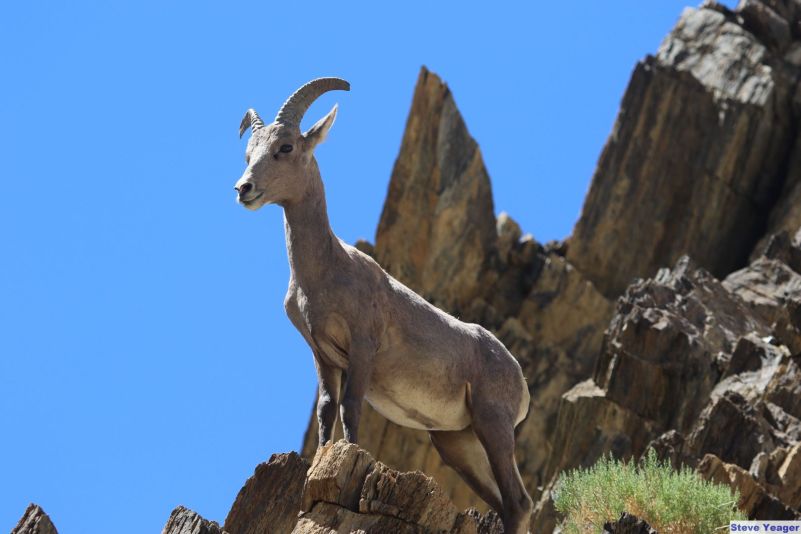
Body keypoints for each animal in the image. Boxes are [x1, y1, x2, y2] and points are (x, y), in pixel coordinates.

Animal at [231, 77, 536, 532]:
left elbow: (350, 408)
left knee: (518, 502)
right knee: (505, 502)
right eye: (249, 154)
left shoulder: (362, 346)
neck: (325, 273)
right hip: (457, 443)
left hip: (493, 425)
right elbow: (326, 411)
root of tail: (518, 378)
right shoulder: (323, 355)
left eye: (285, 147)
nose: (243, 189)